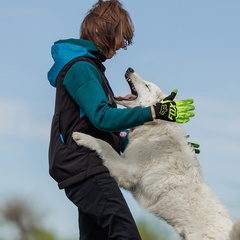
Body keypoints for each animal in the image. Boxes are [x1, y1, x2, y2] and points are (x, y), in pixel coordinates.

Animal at [73, 67, 240, 240]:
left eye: (147, 86)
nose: (130, 68)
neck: (155, 125)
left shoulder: (127, 172)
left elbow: (105, 145)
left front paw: (83, 137)